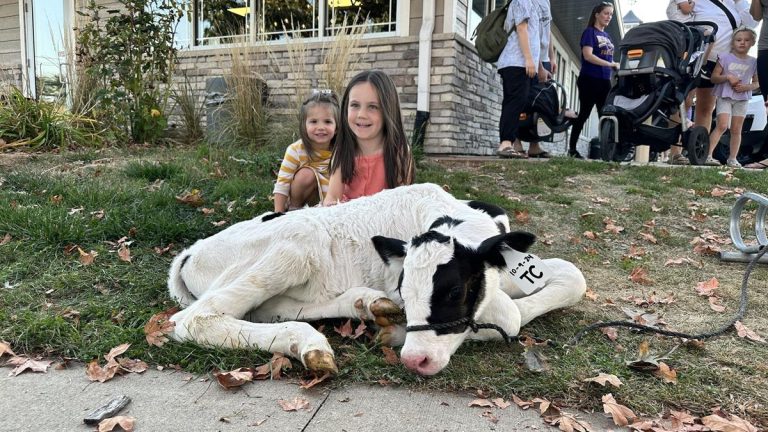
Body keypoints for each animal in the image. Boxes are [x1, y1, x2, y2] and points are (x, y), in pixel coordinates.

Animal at [168, 182, 584, 374]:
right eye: (405, 288)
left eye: (455, 291)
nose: (416, 359)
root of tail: (189, 253)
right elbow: (507, 315)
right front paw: (397, 331)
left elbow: (573, 275)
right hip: (297, 243)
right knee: (195, 319)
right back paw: (310, 342)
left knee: (271, 310)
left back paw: (366, 305)